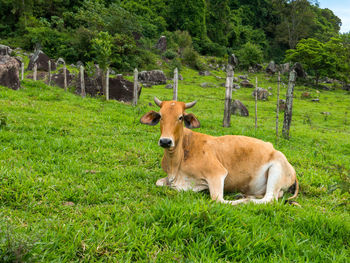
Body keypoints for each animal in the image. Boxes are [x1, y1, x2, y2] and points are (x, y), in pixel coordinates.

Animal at [139, 98, 298, 205]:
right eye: (161, 116)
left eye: (180, 117)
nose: (165, 141)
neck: (176, 162)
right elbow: (159, 183)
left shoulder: (217, 173)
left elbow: (218, 199)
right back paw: (244, 195)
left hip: (276, 170)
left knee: (270, 199)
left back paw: (245, 199)